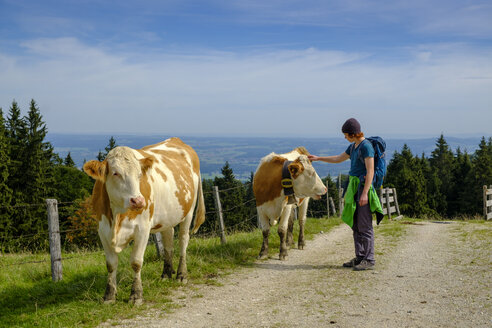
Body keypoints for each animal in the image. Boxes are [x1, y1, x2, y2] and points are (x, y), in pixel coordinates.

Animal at [83, 137, 206, 304]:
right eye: (115, 173)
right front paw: (109, 296)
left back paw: (181, 275)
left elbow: (136, 262)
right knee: (168, 241)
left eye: (139, 174)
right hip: (167, 216)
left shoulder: (142, 229)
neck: (117, 217)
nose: (138, 201)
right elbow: (111, 264)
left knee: (183, 241)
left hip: (188, 211)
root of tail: (177, 140)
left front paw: (136, 295)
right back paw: (166, 274)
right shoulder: (102, 230)